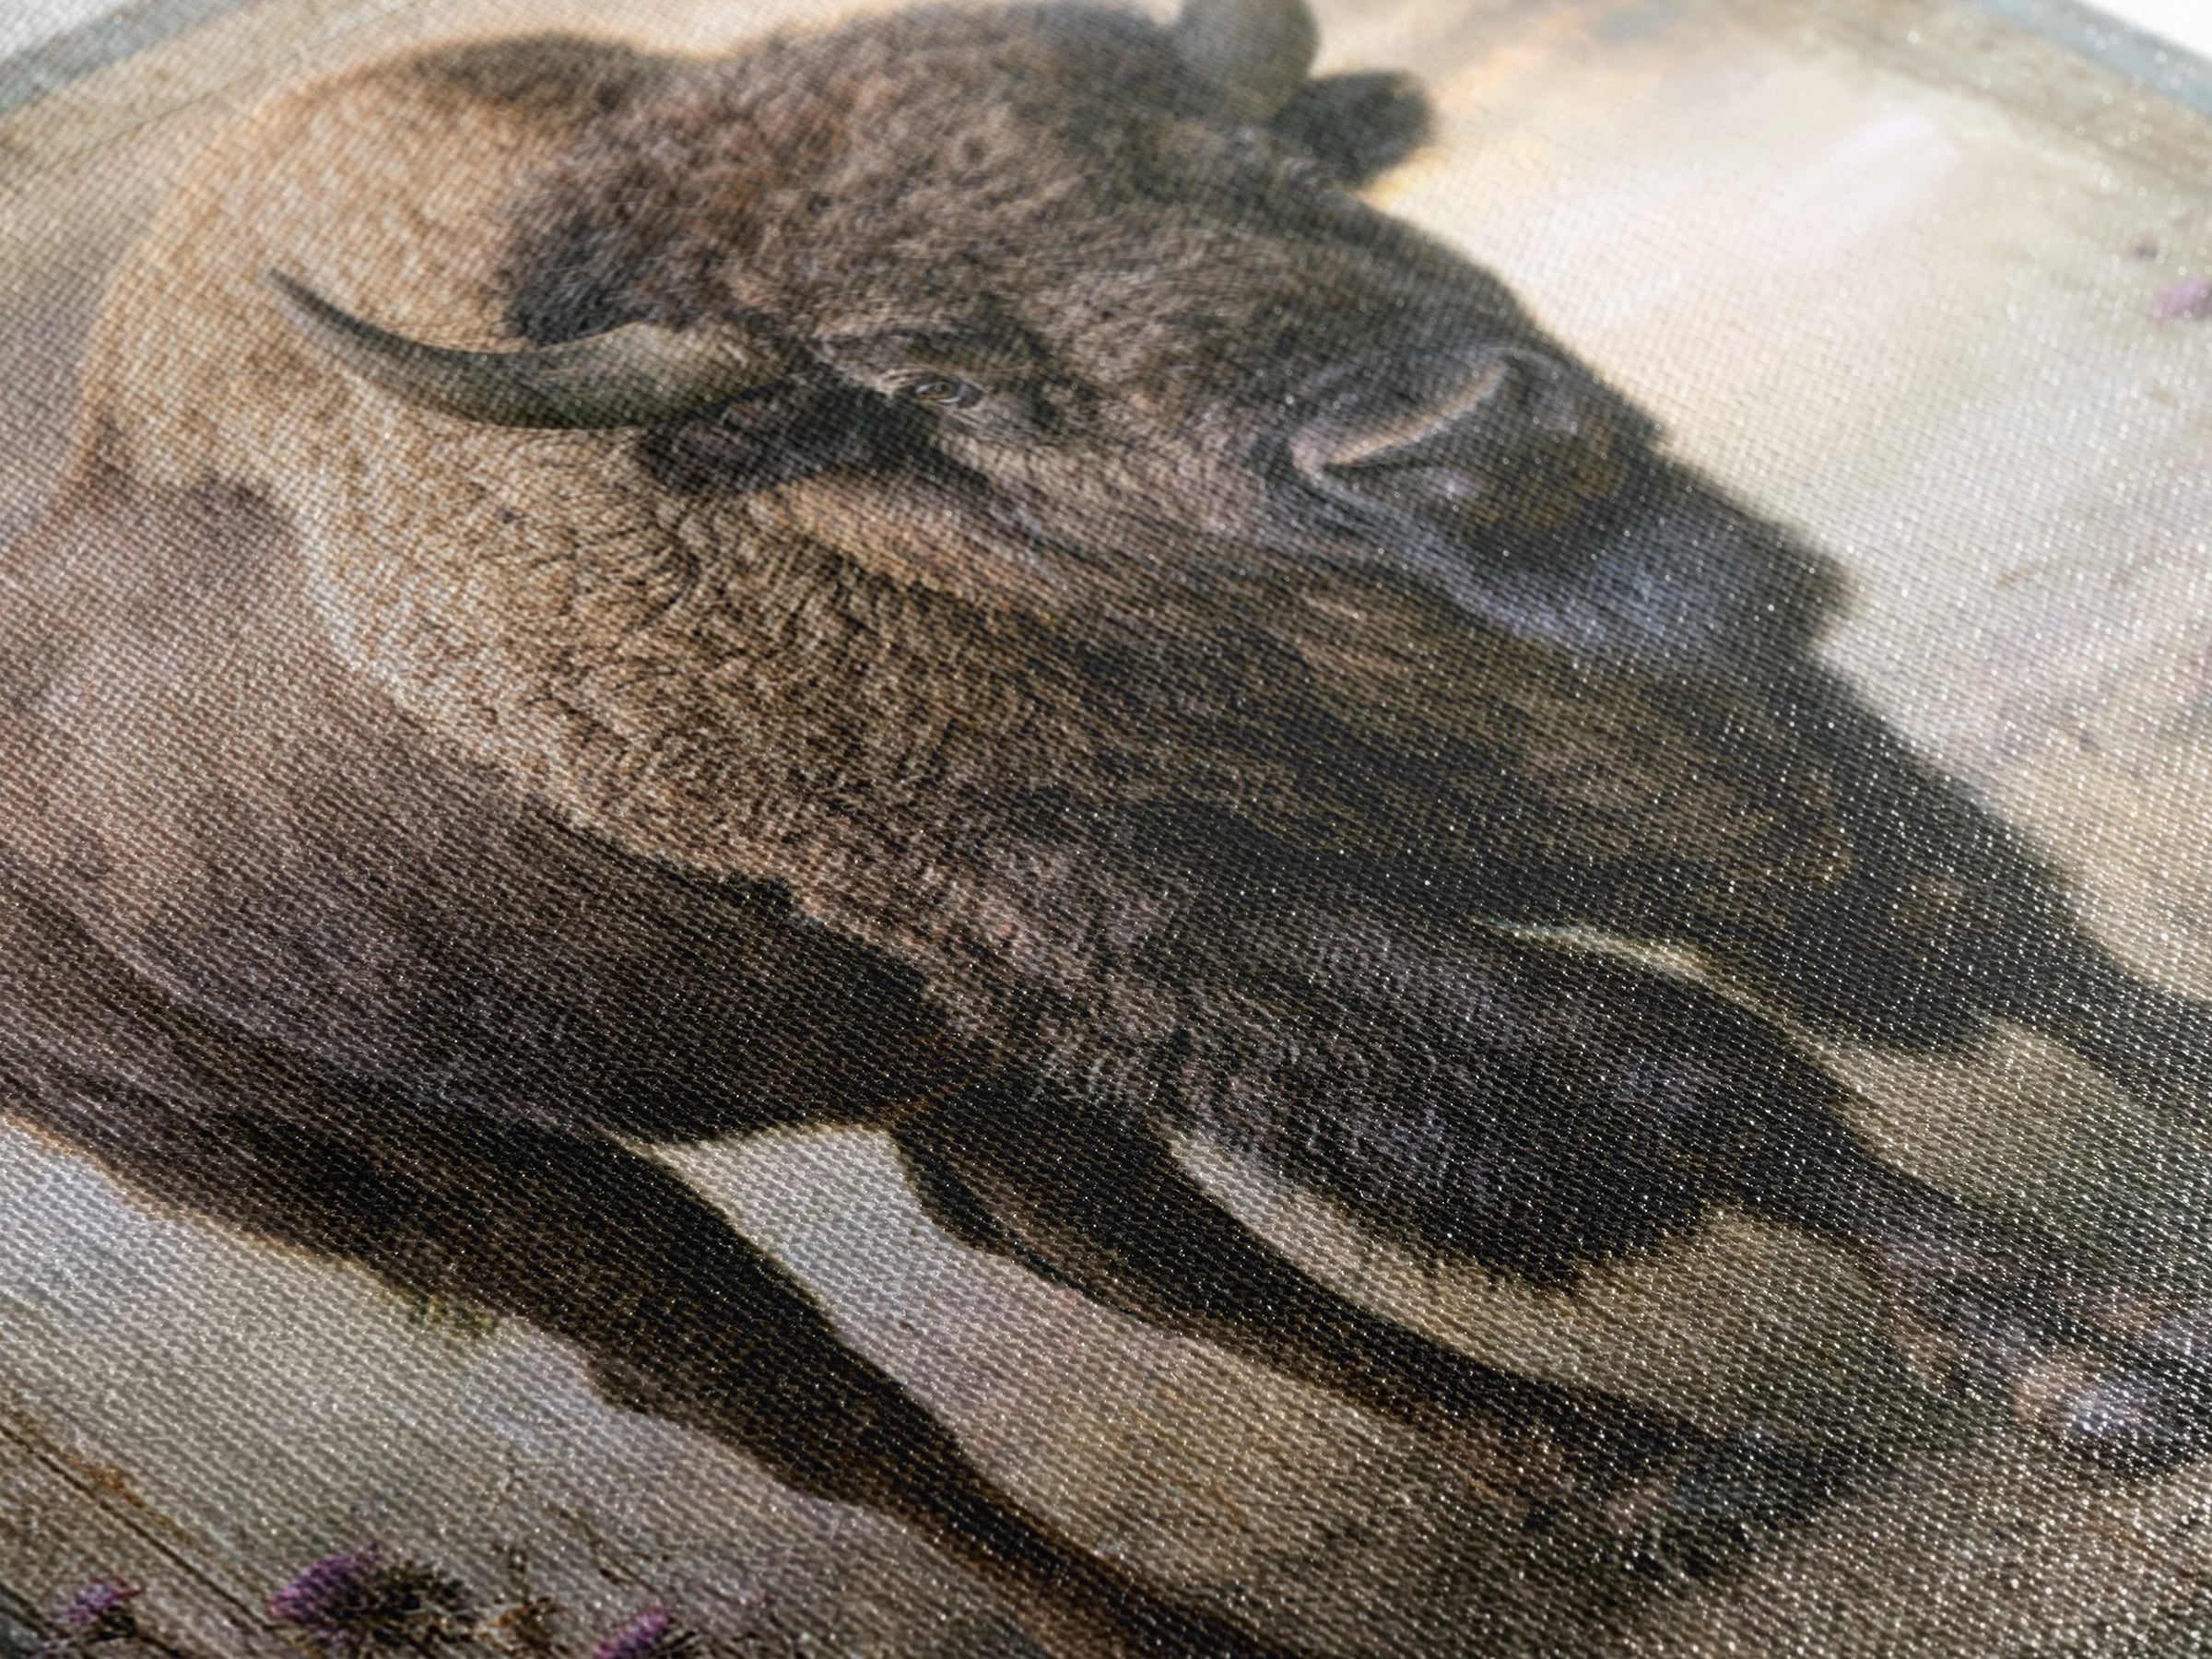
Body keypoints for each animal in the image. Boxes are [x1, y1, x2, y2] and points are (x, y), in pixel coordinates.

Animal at [4, 1, 2211, 1654]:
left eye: (1269, 168)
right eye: (948, 380)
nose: (1462, 442)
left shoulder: (1623, 738)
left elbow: (1943, 906)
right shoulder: (1206, 940)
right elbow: (1680, 1066)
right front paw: (2104, 1365)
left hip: (939, 1050)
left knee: (1118, 1246)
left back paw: (1662, 1468)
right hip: (467, 1180)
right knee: (818, 1413)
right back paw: (1225, 1627)